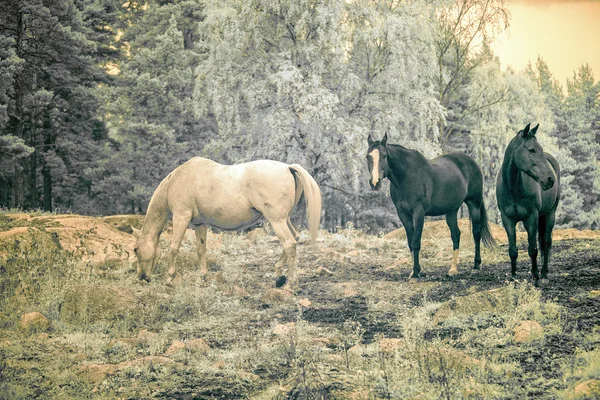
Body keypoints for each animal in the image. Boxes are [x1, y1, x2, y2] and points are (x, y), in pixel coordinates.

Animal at [130, 156, 318, 290]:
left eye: (135, 249)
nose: (142, 277)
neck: (178, 179)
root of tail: (287, 167)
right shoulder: (200, 224)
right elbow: (201, 249)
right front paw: (203, 278)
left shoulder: (181, 217)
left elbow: (174, 248)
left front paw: (169, 278)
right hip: (284, 219)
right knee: (295, 238)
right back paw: (279, 276)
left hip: (276, 221)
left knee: (289, 243)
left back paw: (290, 284)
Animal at [368, 133, 494, 280]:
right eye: (368, 156)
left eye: (384, 156)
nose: (375, 183)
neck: (407, 176)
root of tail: (472, 162)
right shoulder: (403, 214)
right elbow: (410, 242)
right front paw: (414, 271)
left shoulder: (419, 212)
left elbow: (416, 242)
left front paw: (416, 273)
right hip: (451, 211)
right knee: (456, 234)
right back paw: (453, 269)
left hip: (474, 204)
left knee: (476, 232)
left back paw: (476, 265)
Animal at [494, 123, 560, 282]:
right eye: (531, 150)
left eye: (539, 149)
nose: (550, 179)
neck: (513, 188)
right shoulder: (508, 220)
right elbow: (513, 250)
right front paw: (513, 276)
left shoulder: (531, 218)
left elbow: (533, 249)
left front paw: (535, 275)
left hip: (550, 213)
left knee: (546, 241)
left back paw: (544, 272)